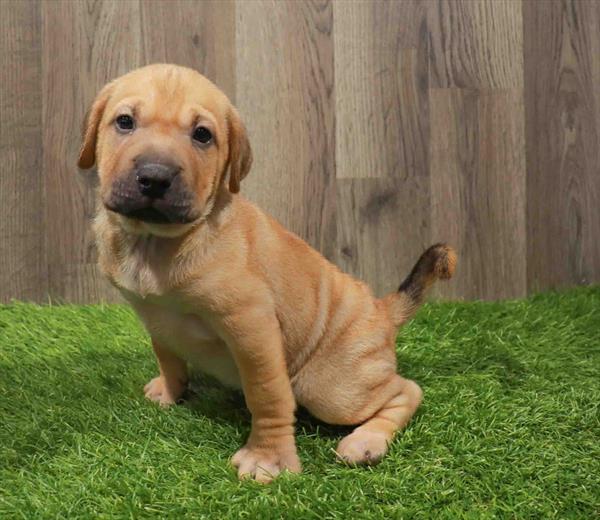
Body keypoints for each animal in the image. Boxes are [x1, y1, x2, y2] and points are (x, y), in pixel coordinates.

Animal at [78, 65, 454, 484]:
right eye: (124, 122)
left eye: (202, 135)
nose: (155, 177)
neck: (155, 242)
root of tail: (382, 310)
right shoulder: (155, 317)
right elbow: (168, 355)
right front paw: (170, 391)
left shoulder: (250, 324)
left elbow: (266, 394)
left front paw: (268, 458)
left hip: (329, 388)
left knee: (406, 390)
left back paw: (366, 440)